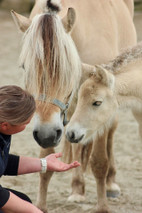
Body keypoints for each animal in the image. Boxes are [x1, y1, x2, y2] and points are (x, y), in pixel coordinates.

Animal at [11, 0, 136, 213]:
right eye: (24, 67)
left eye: (68, 67)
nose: (46, 134)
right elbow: (47, 160)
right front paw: (41, 206)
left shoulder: (102, 106)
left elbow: (99, 161)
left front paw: (102, 206)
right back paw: (77, 188)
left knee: (110, 133)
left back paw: (110, 184)